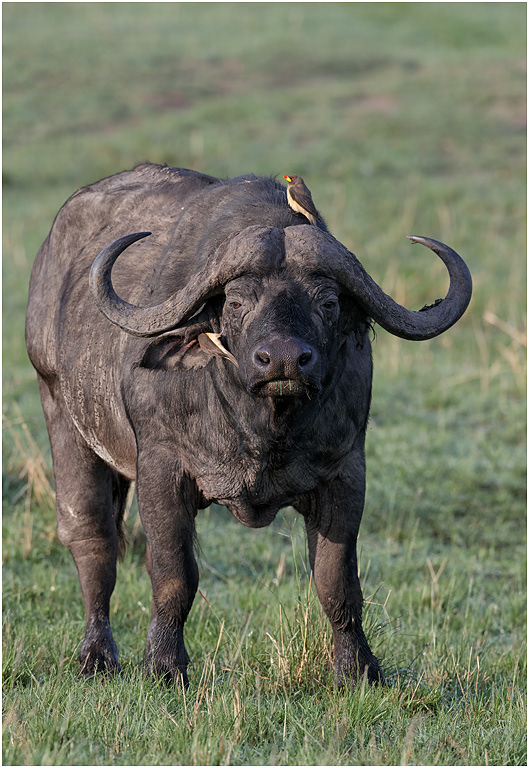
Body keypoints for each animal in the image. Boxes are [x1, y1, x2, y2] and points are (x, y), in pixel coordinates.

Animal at [25, 163, 472, 687]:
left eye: (327, 303)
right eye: (237, 302)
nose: (283, 360)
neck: (262, 428)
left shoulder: (346, 473)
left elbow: (337, 582)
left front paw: (357, 669)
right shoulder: (161, 468)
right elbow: (175, 575)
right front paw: (164, 665)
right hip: (62, 414)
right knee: (93, 539)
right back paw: (97, 656)